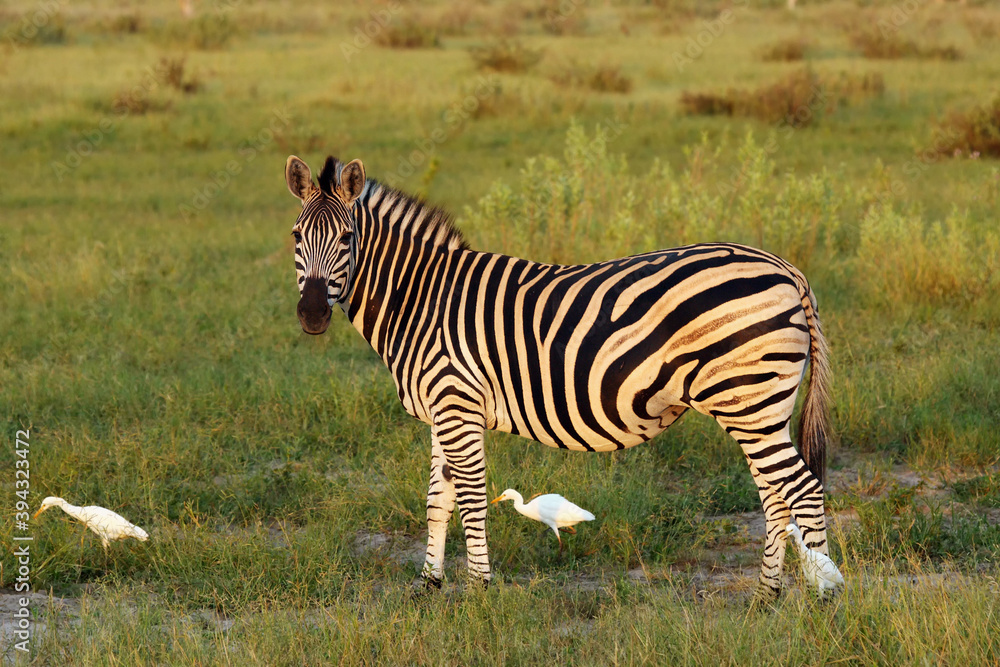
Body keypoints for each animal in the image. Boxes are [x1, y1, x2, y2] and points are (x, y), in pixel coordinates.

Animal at [284, 154, 835, 600]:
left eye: (347, 238)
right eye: (295, 236)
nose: (311, 315)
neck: (422, 299)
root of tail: (786, 268)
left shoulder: (459, 405)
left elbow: (471, 500)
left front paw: (480, 592)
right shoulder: (443, 411)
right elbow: (438, 500)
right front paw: (428, 586)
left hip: (748, 401)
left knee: (803, 491)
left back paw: (821, 599)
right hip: (761, 407)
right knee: (776, 497)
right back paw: (765, 597)